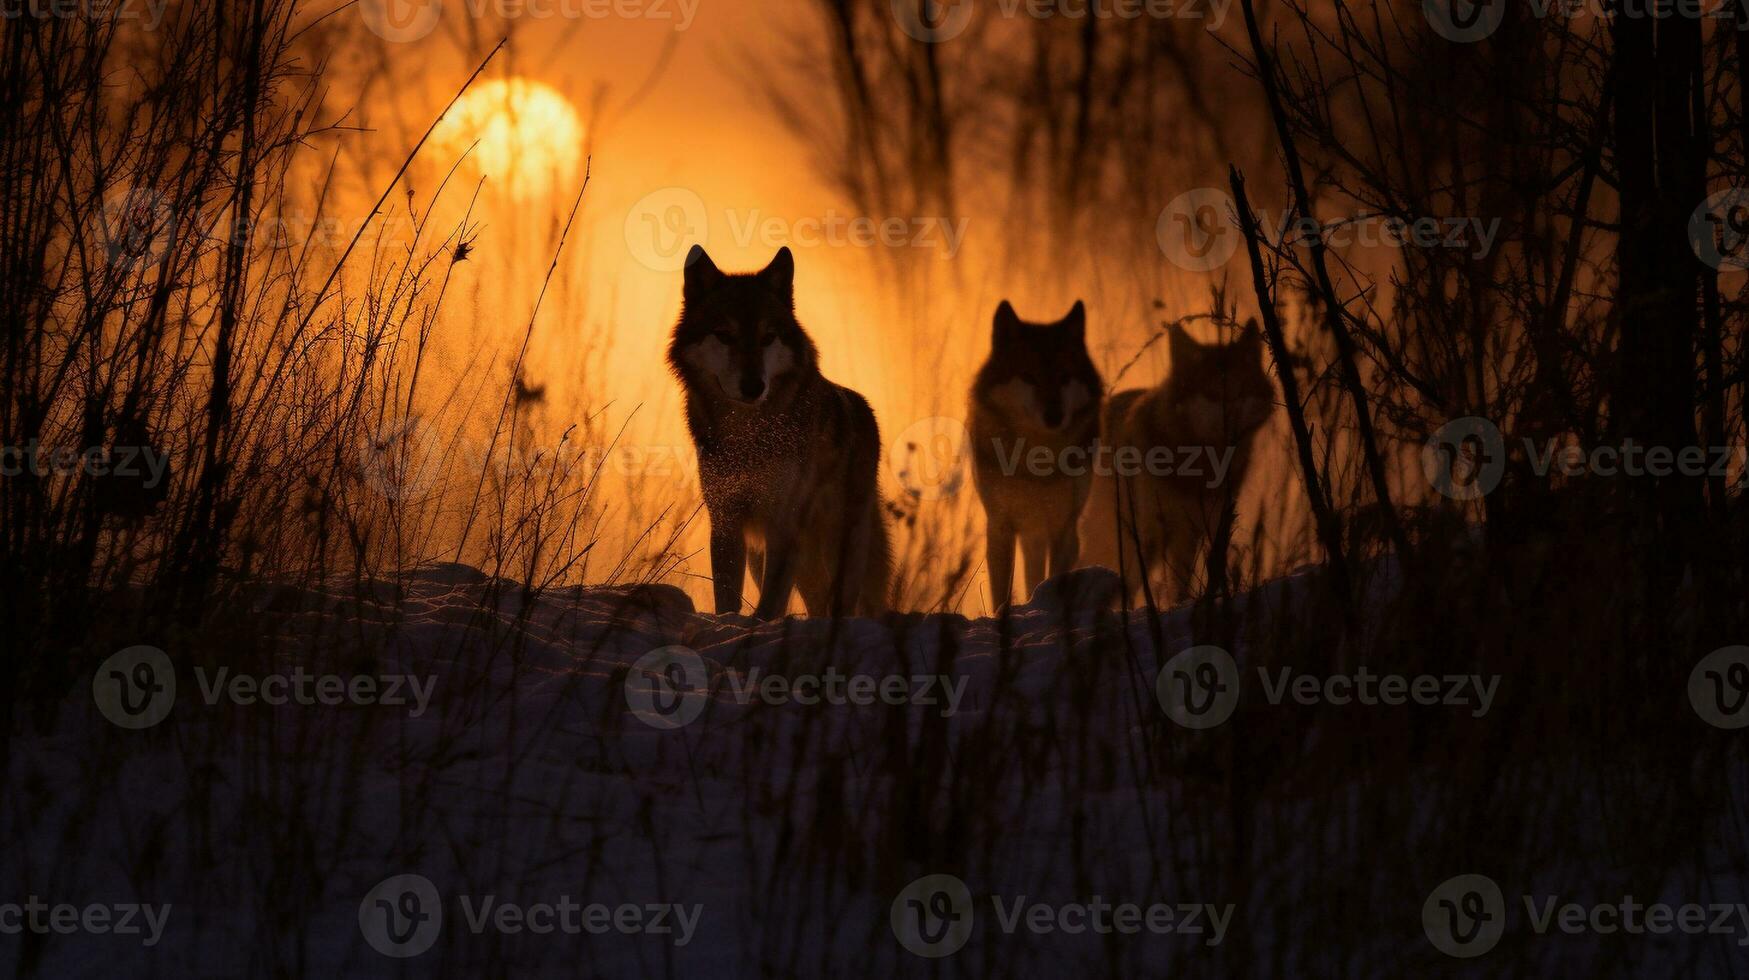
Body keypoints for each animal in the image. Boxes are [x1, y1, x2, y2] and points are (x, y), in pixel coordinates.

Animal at [664, 245, 895, 619]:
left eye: (768, 338)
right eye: (724, 335)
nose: (754, 386)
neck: (749, 434)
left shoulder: (784, 524)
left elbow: (771, 603)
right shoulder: (727, 521)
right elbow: (728, 599)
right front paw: (730, 625)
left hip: (840, 545)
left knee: (845, 603)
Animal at [965, 301, 1098, 612]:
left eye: (1064, 378)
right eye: (1029, 377)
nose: (1054, 416)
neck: (1037, 458)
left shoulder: (1064, 528)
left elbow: (1055, 581)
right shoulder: (1000, 526)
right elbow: (1001, 593)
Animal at [1077, 318, 1273, 602]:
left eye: (1242, 393)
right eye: (1211, 394)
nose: (1232, 424)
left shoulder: (1208, 525)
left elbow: (1195, 577)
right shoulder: (1153, 530)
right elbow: (1137, 582)